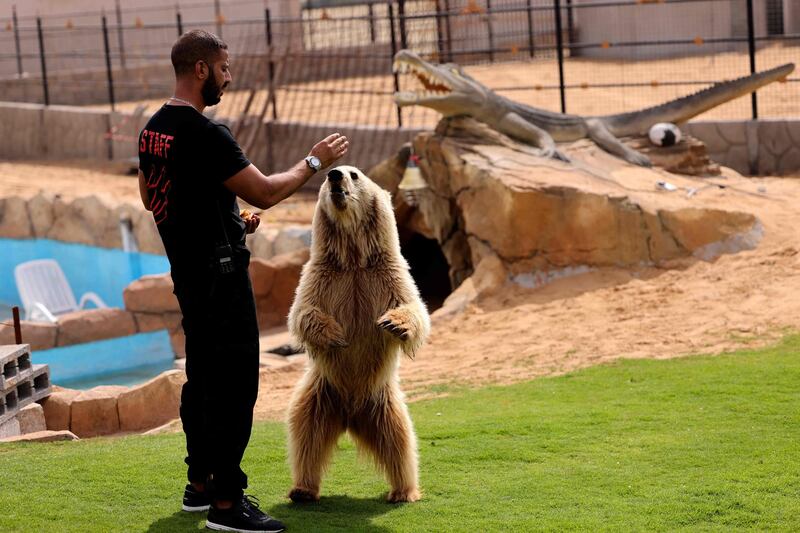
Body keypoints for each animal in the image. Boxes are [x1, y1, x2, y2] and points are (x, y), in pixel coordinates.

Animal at [288, 164, 432, 500]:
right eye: (330, 173)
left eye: (354, 174)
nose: (334, 175)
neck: (353, 257)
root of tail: (351, 415)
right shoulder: (322, 274)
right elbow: (303, 312)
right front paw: (335, 334)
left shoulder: (386, 274)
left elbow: (413, 307)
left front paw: (394, 324)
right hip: (321, 392)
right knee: (306, 434)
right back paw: (302, 489)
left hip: (382, 400)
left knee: (399, 440)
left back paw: (404, 490)